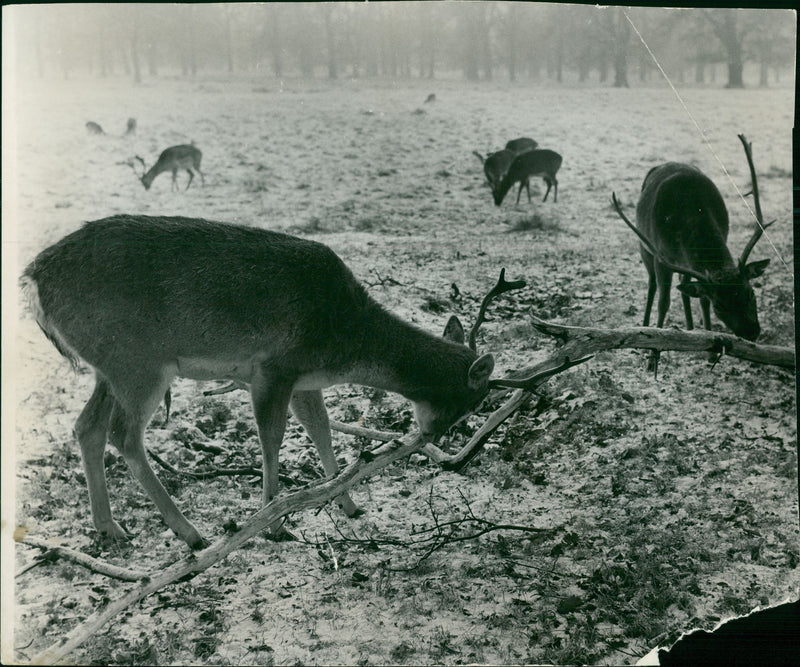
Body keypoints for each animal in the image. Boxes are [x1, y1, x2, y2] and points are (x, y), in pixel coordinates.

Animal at [21, 217, 548, 552]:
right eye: (471, 401)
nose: (435, 436)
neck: (342, 343)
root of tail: (33, 281)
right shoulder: (272, 367)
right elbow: (270, 438)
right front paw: (273, 522)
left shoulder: (304, 379)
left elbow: (322, 431)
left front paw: (348, 503)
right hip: (139, 362)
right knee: (124, 436)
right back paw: (190, 533)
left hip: (109, 366)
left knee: (86, 427)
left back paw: (110, 528)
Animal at [612, 134, 776, 376]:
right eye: (721, 306)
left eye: (751, 293)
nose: (751, 331)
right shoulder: (662, 256)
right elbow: (664, 302)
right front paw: (652, 357)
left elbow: (701, 300)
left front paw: (710, 350)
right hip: (645, 247)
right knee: (652, 285)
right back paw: (644, 326)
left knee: (685, 284)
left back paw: (690, 328)